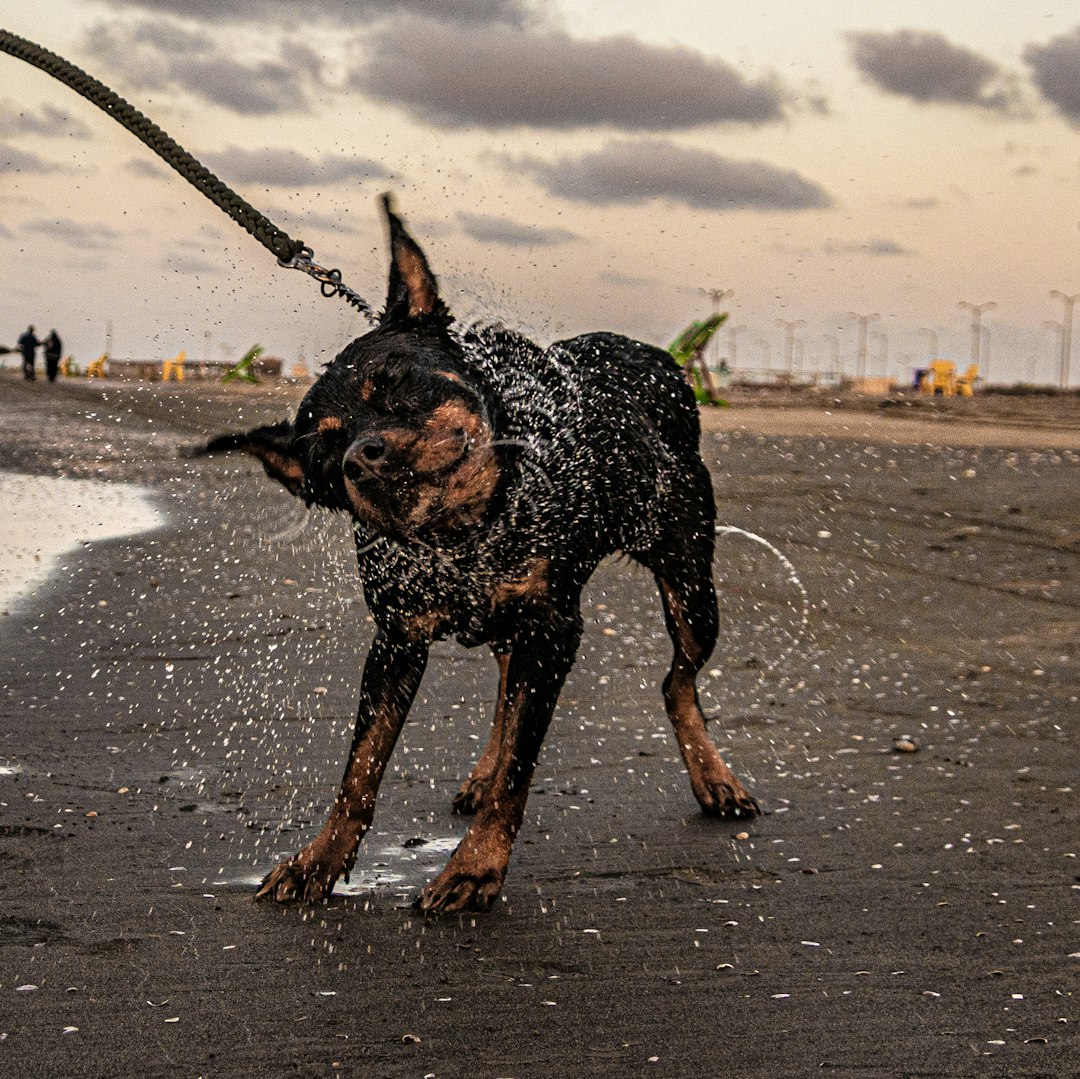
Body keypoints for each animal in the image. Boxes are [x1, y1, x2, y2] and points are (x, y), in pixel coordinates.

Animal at [200, 196, 760, 911]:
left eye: (394, 381)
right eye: (324, 449)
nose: (361, 457)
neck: (464, 537)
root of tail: (658, 356)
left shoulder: (552, 628)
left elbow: (520, 766)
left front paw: (474, 869)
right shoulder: (396, 640)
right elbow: (360, 771)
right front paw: (318, 860)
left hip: (690, 581)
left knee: (675, 678)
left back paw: (715, 778)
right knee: (506, 679)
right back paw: (482, 769)